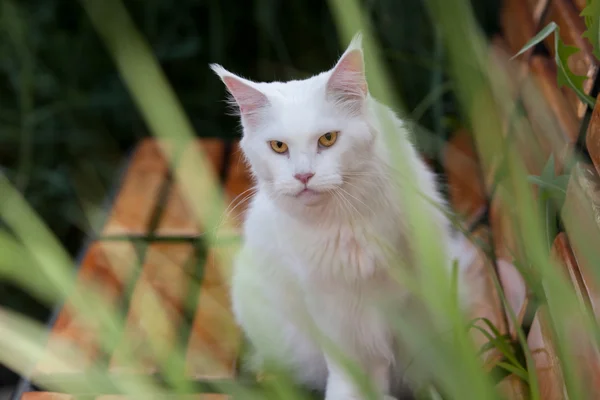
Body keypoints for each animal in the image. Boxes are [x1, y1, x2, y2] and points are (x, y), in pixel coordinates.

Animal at [211, 34, 478, 400]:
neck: (345, 225)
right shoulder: (335, 309)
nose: (303, 176)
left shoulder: (402, 300)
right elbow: (353, 372)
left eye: (328, 139)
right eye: (278, 147)